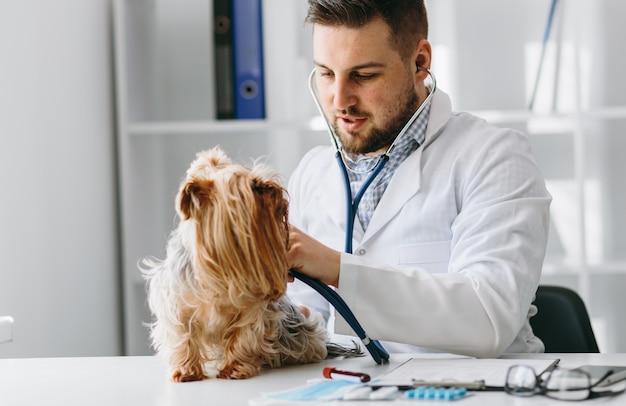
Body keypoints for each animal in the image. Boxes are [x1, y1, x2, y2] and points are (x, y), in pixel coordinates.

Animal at [140, 147, 326, 382]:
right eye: (254, 186)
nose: (276, 188)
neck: (218, 268)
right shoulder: (175, 303)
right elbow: (183, 336)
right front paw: (185, 370)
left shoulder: (252, 308)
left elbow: (243, 335)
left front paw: (234, 369)